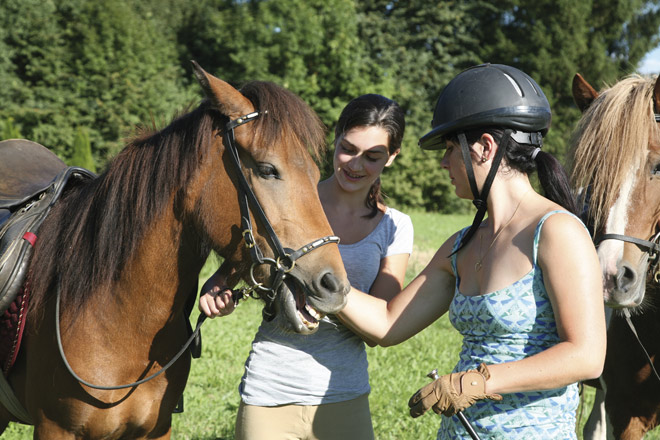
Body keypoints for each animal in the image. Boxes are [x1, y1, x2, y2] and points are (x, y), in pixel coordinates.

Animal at [0, 62, 349, 439]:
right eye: (268, 170)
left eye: (314, 173)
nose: (334, 286)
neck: (118, 319)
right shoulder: (55, 428)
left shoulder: (156, 429)